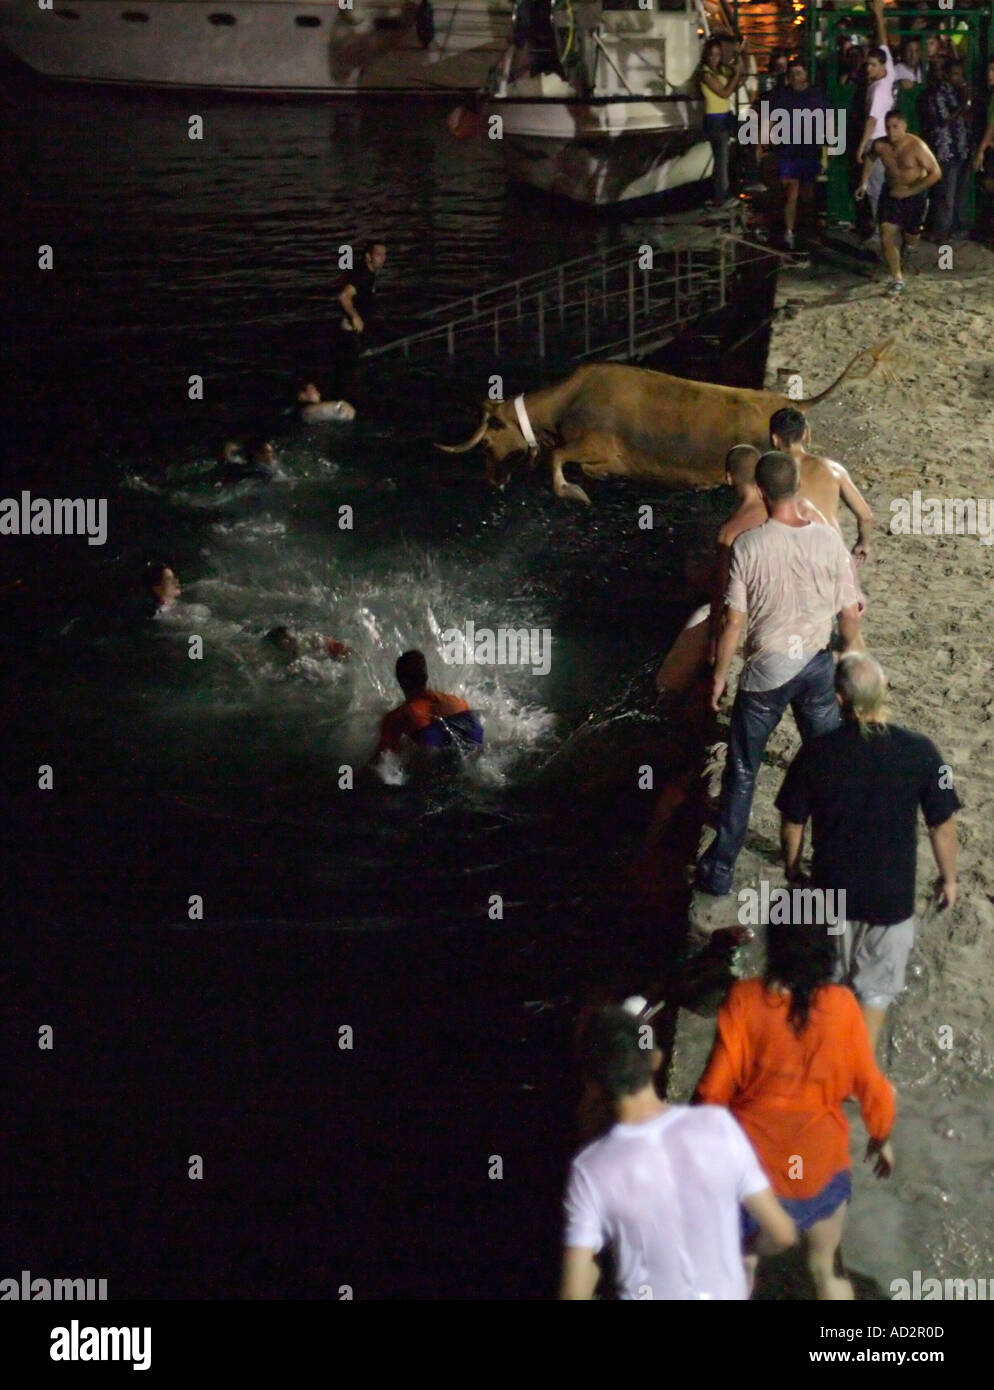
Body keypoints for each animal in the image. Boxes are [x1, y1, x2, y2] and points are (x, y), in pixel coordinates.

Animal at [436, 343, 895, 511]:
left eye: (486, 442)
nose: (494, 481)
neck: (568, 400)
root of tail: (788, 401)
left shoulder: (594, 441)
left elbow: (559, 457)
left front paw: (572, 491)